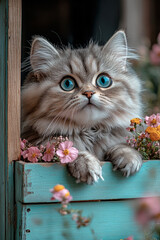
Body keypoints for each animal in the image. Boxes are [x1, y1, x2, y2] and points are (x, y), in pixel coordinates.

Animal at [21, 30, 142, 184]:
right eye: (67, 84)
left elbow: (121, 145)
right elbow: (69, 149)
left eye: (103, 80)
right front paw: (86, 164)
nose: (88, 93)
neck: (89, 131)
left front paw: (129, 156)